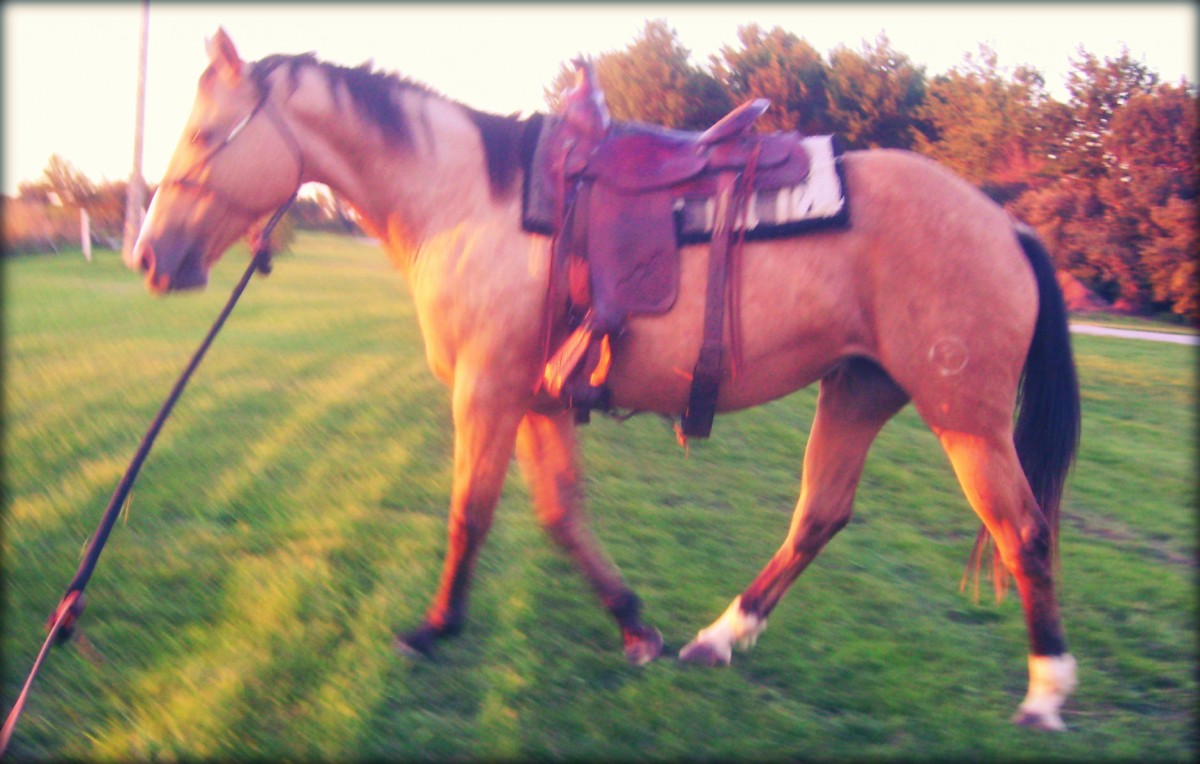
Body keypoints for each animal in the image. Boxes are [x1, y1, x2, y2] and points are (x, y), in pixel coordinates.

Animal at [129, 29, 1080, 729]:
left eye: (208, 136)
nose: (148, 256)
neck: (468, 201)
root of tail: (1005, 223)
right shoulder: (538, 397)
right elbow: (559, 514)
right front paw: (635, 626)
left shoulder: (488, 389)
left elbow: (470, 512)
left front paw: (434, 628)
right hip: (858, 389)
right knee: (820, 517)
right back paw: (717, 638)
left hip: (965, 416)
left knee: (1024, 531)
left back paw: (1046, 691)